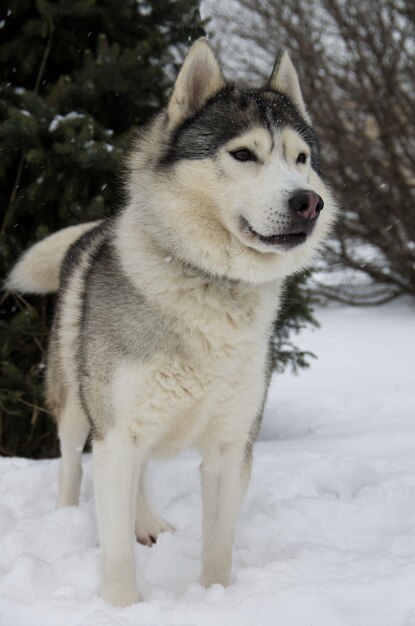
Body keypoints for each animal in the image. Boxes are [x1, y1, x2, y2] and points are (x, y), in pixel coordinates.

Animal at [6, 39, 338, 604]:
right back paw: (67, 519)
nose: (308, 202)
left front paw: (215, 598)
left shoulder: (231, 445)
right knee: (70, 464)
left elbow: (218, 545)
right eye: (243, 154)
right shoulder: (116, 434)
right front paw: (122, 607)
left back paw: (146, 523)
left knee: (138, 478)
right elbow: (116, 553)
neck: (212, 284)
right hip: (76, 405)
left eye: (301, 159)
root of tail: (92, 229)